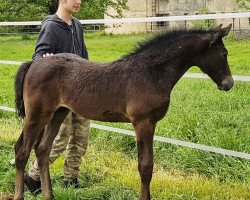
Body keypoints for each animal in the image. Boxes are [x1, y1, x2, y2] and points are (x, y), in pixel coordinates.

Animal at [13, 24, 232, 199]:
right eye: (224, 54)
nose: (229, 84)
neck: (150, 72)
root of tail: (33, 63)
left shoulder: (150, 123)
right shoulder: (143, 122)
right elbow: (145, 166)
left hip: (58, 113)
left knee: (42, 149)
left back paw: (48, 194)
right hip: (37, 115)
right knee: (22, 150)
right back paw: (19, 195)